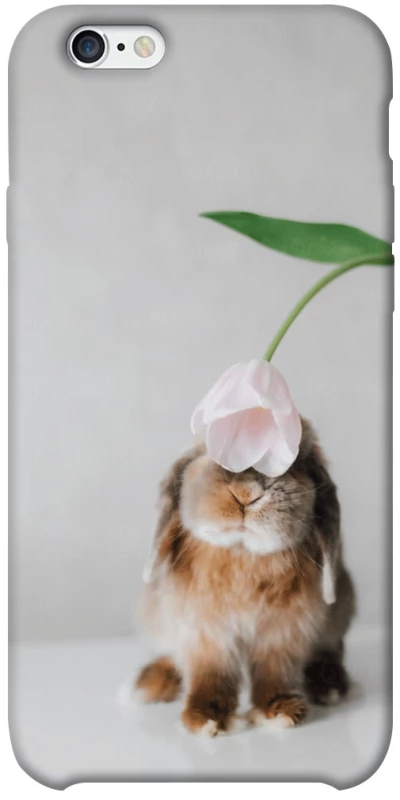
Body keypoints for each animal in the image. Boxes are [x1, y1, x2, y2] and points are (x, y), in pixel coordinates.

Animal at [135, 418, 355, 736]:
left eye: (293, 464)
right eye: (212, 454)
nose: (246, 493)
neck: (243, 551)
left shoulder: (283, 631)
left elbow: (275, 670)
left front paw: (279, 711)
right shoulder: (204, 631)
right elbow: (210, 672)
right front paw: (206, 719)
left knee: (331, 648)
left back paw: (330, 685)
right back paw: (150, 681)